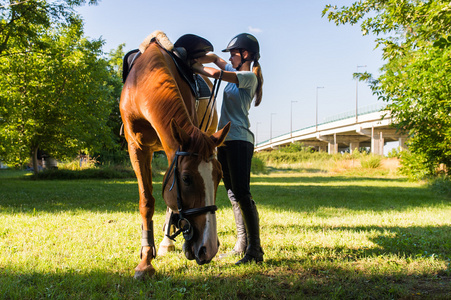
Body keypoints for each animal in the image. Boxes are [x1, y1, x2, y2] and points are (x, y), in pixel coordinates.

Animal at [120, 31, 230, 280]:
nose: (209, 247)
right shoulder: (137, 147)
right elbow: (146, 201)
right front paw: (145, 262)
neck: (143, 80)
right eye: (187, 179)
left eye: (219, 176)